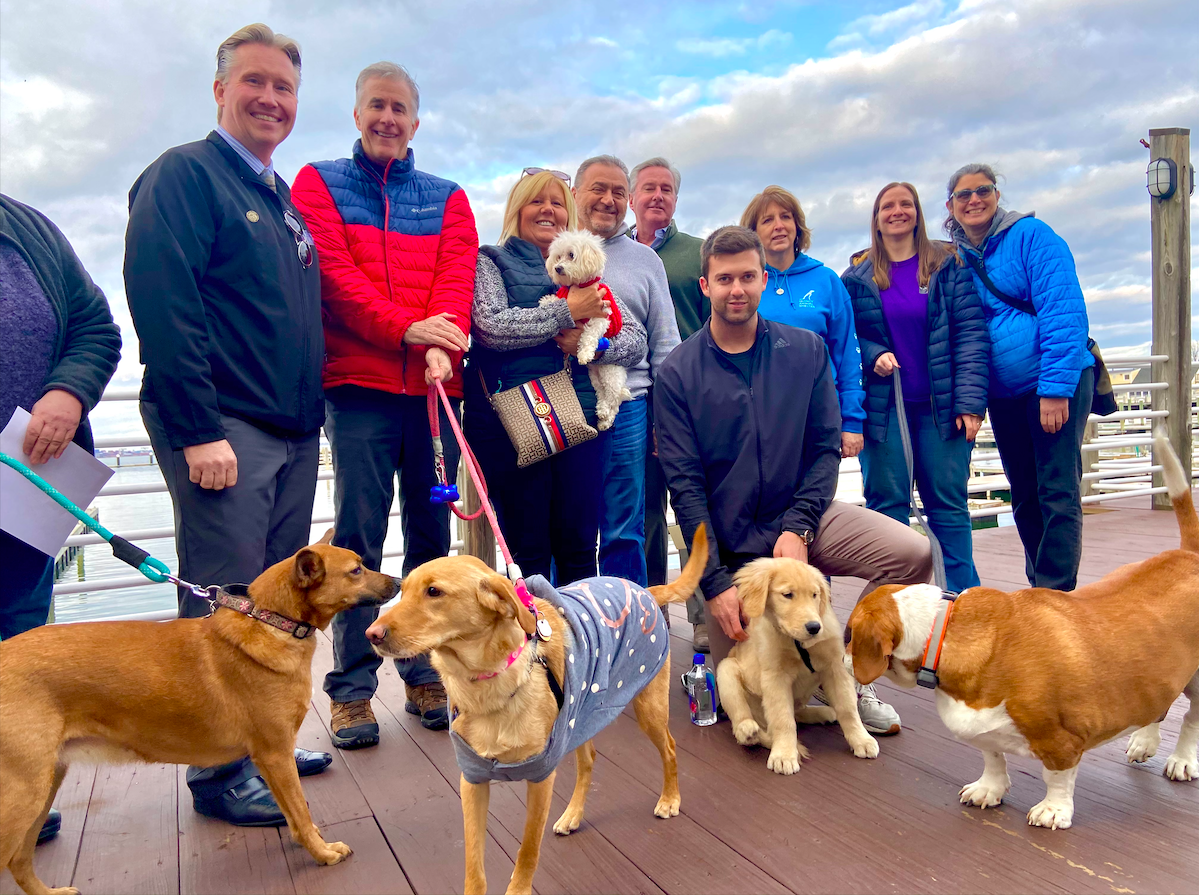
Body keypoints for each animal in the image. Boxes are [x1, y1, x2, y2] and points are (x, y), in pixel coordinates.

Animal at [2, 532, 395, 887]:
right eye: (356, 570)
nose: (398, 581)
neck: (270, 620)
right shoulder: (275, 754)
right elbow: (299, 813)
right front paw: (323, 852)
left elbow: (298, 815)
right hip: (23, 795)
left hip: (45, 785)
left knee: (19, 862)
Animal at [362, 523, 700, 892]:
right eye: (404, 589)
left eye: (434, 592)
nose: (371, 633)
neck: (485, 686)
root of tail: (645, 590)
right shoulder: (473, 780)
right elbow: (474, 864)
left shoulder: (540, 776)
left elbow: (528, 851)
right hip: (578, 717)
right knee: (588, 760)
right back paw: (572, 815)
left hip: (648, 709)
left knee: (669, 748)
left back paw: (670, 799)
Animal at [544, 226, 633, 429]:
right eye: (558, 256)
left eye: (571, 255)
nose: (557, 268)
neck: (581, 285)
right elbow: (559, 299)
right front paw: (546, 301)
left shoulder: (602, 316)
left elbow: (590, 334)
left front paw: (584, 353)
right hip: (595, 376)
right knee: (602, 394)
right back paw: (602, 413)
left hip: (610, 374)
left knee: (614, 399)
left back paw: (606, 418)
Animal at [709, 554, 882, 772]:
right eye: (788, 595)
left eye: (815, 595)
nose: (814, 627)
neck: (798, 642)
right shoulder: (775, 676)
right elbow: (783, 719)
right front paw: (784, 754)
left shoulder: (835, 666)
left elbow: (848, 707)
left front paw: (861, 740)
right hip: (726, 669)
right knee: (744, 718)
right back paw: (748, 731)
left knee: (798, 712)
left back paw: (824, 712)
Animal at [844, 429, 1199, 825]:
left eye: (849, 635)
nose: (840, 660)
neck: (944, 630)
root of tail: (1189, 555)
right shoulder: (985, 732)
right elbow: (993, 758)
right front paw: (989, 789)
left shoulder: (1061, 740)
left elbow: (1056, 776)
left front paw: (1053, 810)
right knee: (1159, 705)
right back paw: (1144, 742)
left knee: (1190, 719)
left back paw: (1182, 760)